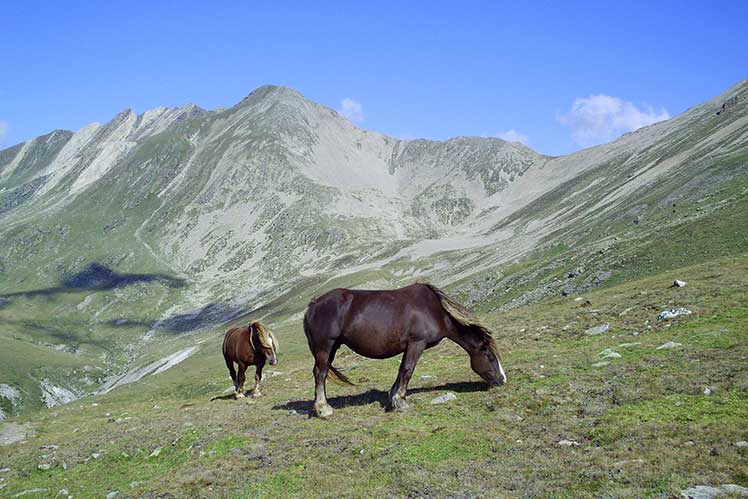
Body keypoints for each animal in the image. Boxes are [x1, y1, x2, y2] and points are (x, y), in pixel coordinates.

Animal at [304, 286, 508, 418]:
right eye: (490, 357)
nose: (502, 380)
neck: (434, 310)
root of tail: (313, 304)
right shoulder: (417, 343)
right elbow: (408, 371)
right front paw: (401, 402)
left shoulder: (409, 347)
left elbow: (401, 370)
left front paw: (393, 397)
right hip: (325, 347)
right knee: (320, 374)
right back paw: (323, 409)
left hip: (332, 348)